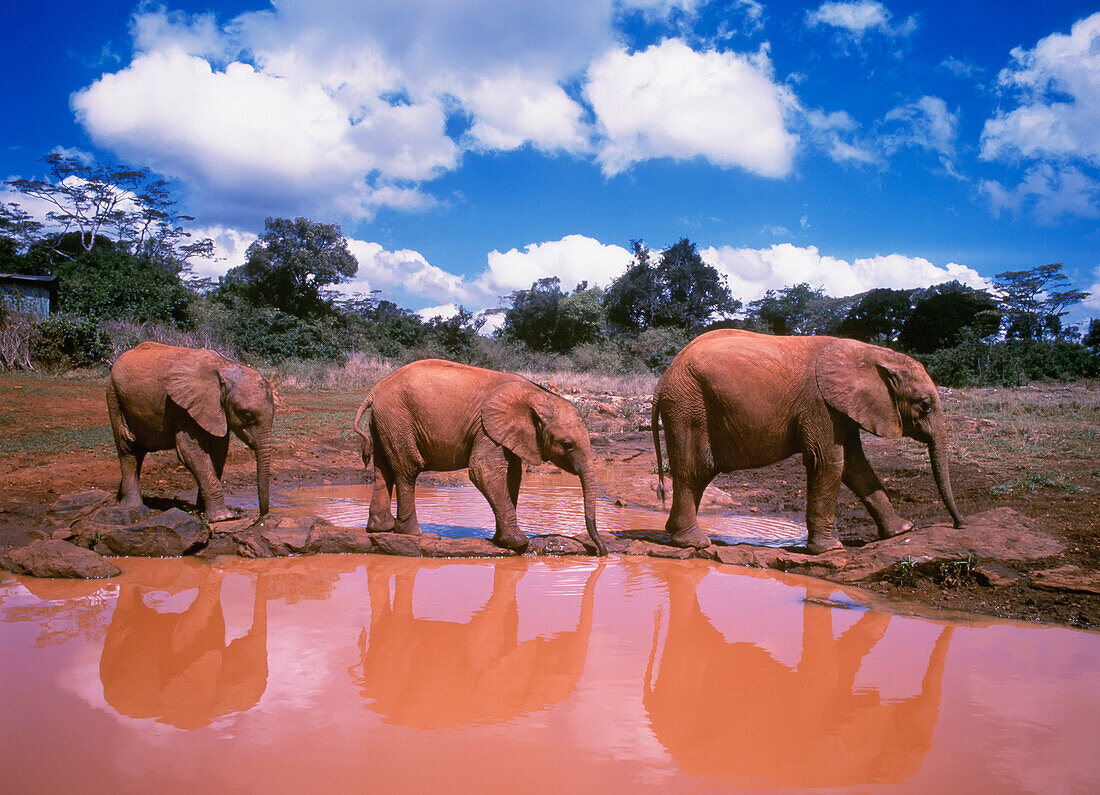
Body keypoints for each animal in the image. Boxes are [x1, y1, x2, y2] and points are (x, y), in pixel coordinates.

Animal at [106, 343, 273, 523]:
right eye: (247, 415)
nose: (261, 517)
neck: (224, 366)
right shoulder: (181, 406)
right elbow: (190, 450)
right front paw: (224, 518)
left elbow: (218, 451)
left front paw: (203, 511)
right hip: (114, 397)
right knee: (127, 448)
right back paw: (133, 507)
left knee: (138, 452)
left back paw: (121, 500)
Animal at [352, 360, 607, 554]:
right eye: (567, 445)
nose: (600, 552)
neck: (537, 395)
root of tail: (373, 391)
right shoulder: (486, 426)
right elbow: (483, 471)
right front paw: (519, 543)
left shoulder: (505, 431)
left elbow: (513, 476)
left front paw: (500, 540)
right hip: (398, 418)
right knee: (408, 468)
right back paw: (413, 533)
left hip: (385, 421)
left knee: (383, 468)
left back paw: (380, 528)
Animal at [651, 329, 963, 554]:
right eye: (925, 406)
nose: (959, 525)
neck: (871, 354)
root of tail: (664, 379)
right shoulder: (819, 404)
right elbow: (828, 462)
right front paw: (831, 550)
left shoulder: (842, 408)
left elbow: (855, 465)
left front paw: (903, 531)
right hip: (688, 406)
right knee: (696, 469)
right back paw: (695, 544)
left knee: (698, 474)